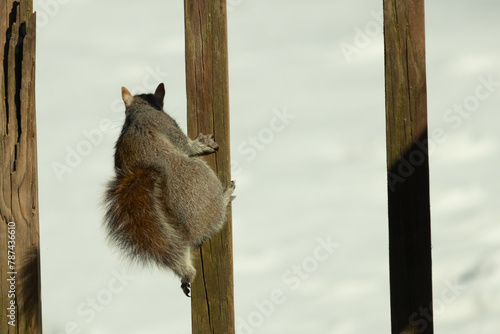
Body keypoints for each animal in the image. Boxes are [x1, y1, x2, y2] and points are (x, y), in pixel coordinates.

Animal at [102, 83, 235, 294]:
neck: (139, 113)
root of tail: (188, 233)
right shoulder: (165, 124)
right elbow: (189, 147)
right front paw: (202, 143)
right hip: (199, 176)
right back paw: (224, 197)